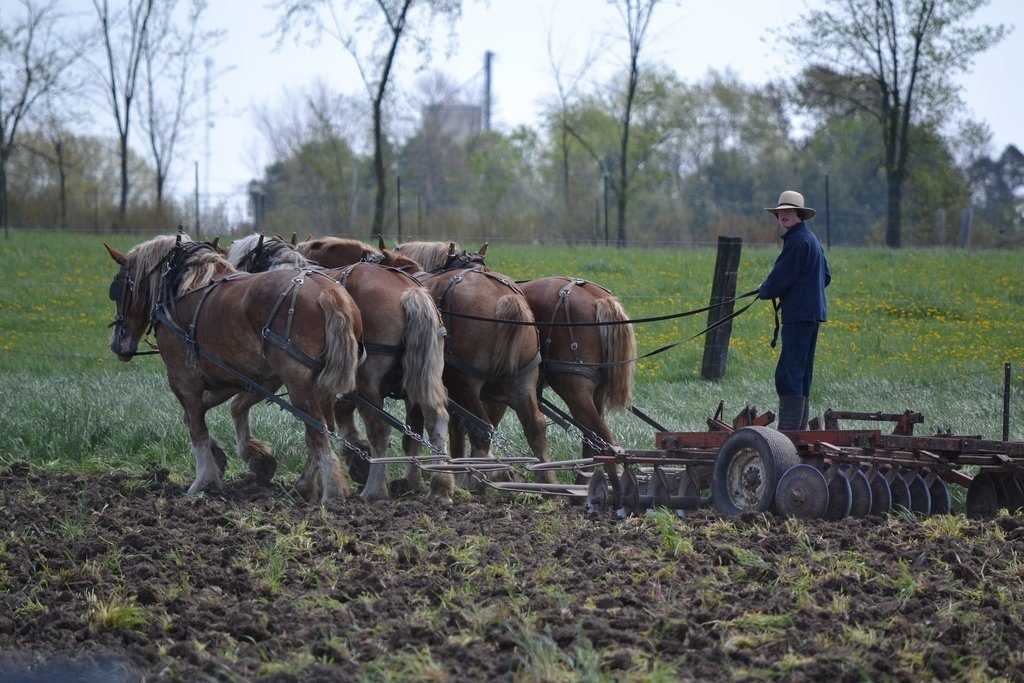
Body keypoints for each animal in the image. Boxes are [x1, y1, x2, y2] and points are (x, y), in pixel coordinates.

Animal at [105, 235, 362, 501]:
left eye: (118, 287)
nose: (116, 345)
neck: (183, 289)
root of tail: (328, 292)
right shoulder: (244, 378)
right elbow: (219, 410)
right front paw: (250, 458)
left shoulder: (183, 381)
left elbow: (197, 429)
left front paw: (203, 481)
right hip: (321, 386)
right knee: (323, 429)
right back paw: (313, 484)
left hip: (298, 383)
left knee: (318, 431)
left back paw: (330, 490)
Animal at [226, 235, 454, 501]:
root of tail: (411, 291)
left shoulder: (284, 376)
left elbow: (312, 428)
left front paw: (305, 482)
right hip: (424, 376)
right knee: (435, 420)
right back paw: (437, 486)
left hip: (367, 381)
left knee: (379, 430)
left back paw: (375, 490)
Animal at [299, 237, 552, 483]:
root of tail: (505, 298)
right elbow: (424, 431)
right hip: (519, 382)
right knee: (534, 427)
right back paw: (545, 480)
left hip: (466, 384)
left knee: (481, 429)